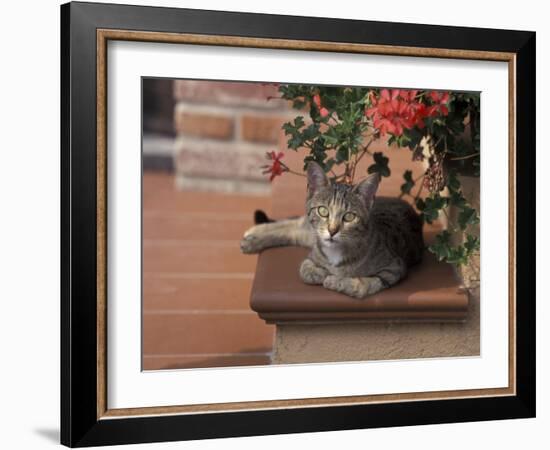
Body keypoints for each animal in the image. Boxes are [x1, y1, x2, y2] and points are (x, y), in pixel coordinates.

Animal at [239, 163, 424, 298]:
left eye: (349, 217)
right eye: (323, 211)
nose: (332, 230)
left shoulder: (394, 267)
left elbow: (364, 284)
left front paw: (336, 281)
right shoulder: (313, 252)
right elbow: (305, 268)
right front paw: (320, 274)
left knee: (293, 231)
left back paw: (252, 239)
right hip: (310, 231)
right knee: (295, 224)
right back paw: (253, 235)